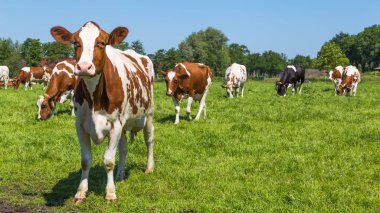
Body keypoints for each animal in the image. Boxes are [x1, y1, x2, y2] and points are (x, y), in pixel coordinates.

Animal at [50, 21, 154, 203]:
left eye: (102, 43)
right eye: (76, 43)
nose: (84, 67)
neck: (94, 98)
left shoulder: (115, 125)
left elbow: (109, 161)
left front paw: (110, 193)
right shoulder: (80, 126)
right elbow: (86, 160)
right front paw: (81, 192)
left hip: (148, 115)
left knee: (149, 140)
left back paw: (149, 168)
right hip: (125, 124)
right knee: (124, 149)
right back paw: (120, 175)